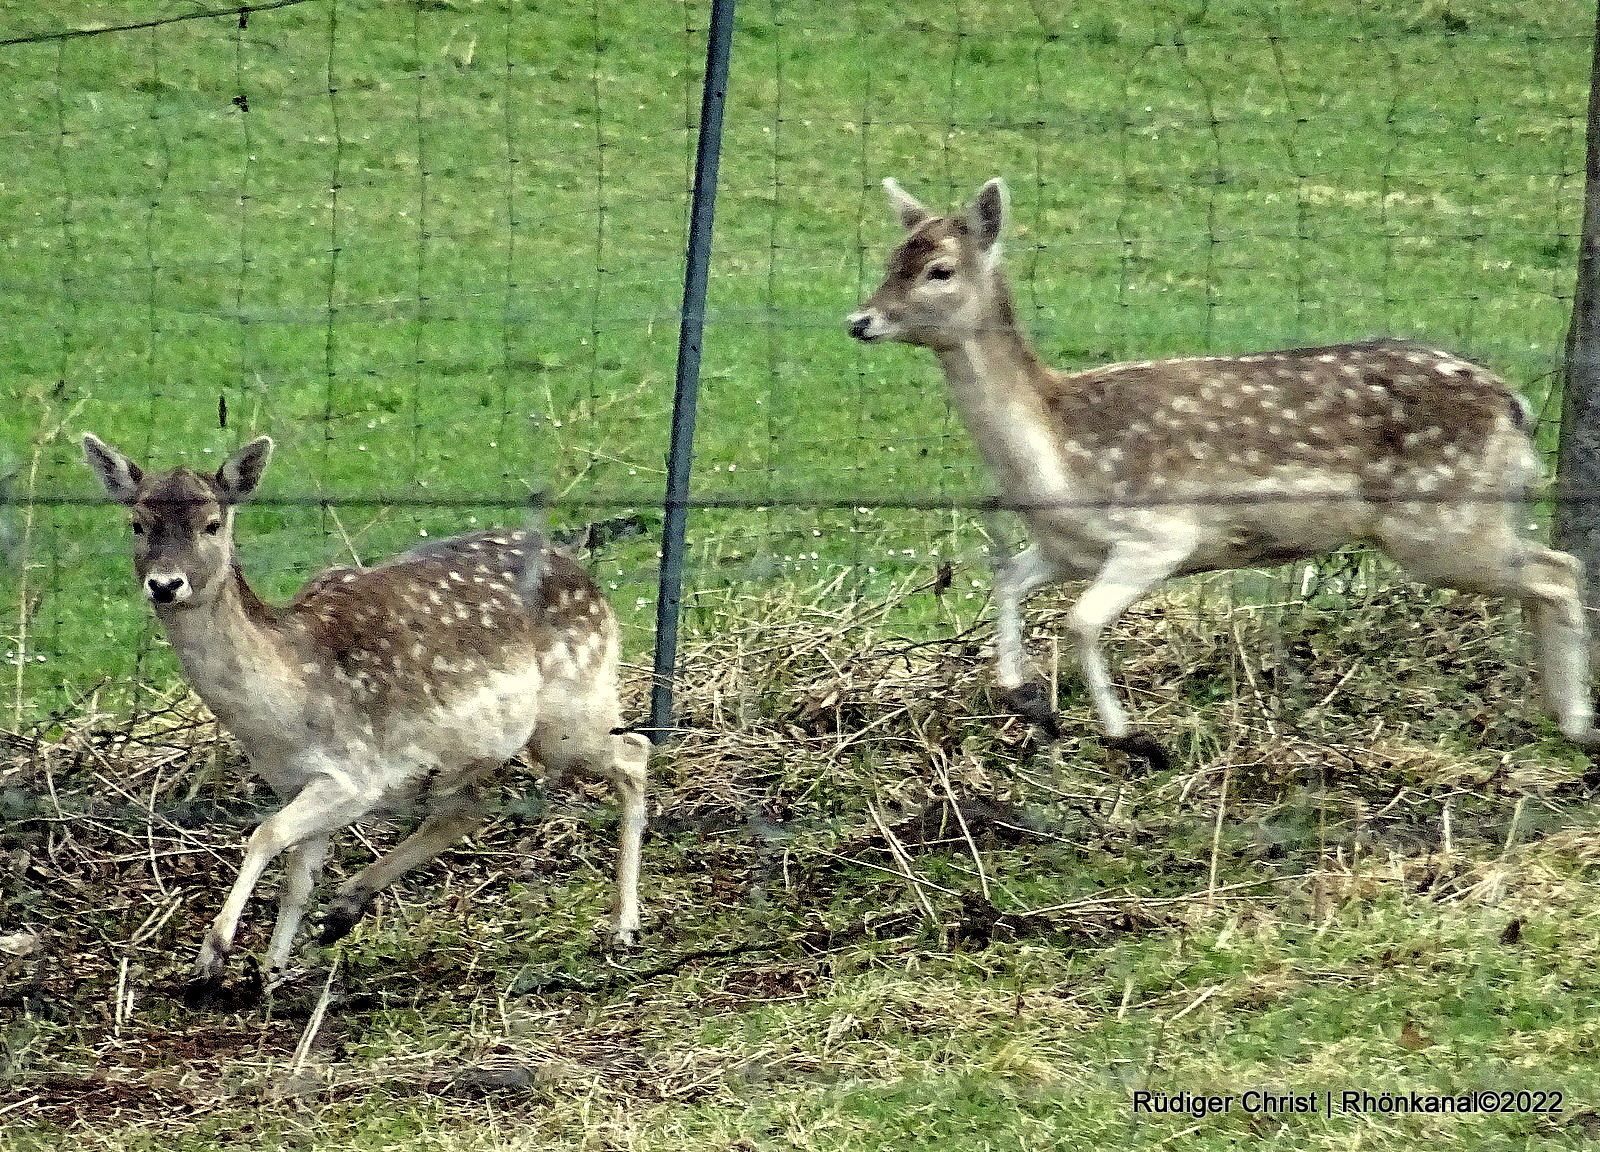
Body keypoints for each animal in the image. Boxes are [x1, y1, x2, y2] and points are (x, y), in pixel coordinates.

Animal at [82, 435, 649, 1004]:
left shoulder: (355, 774)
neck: (281, 710)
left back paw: (623, 927)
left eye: (212, 524)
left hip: (574, 707)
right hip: (475, 750)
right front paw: (270, 971)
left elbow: (264, 834)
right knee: (468, 811)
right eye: (136, 523)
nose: (165, 584)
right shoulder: (296, 780)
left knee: (633, 752)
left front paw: (211, 960)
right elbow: (298, 874)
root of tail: (591, 584)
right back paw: (342, 910)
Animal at [844, 175, 1593, 764]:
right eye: (891, 257)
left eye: (939, 269)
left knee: (1559, 569)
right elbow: (1008, 581)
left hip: (1440, 522)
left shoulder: (1160, 535)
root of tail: (1518, 408)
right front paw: (1024, 696)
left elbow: (1080, 622)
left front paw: (1127, 734)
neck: (1054, 456)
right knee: (1550, 575)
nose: (860, 320)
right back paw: (1559, 715)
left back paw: (1578, 720)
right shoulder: (1068, 549)